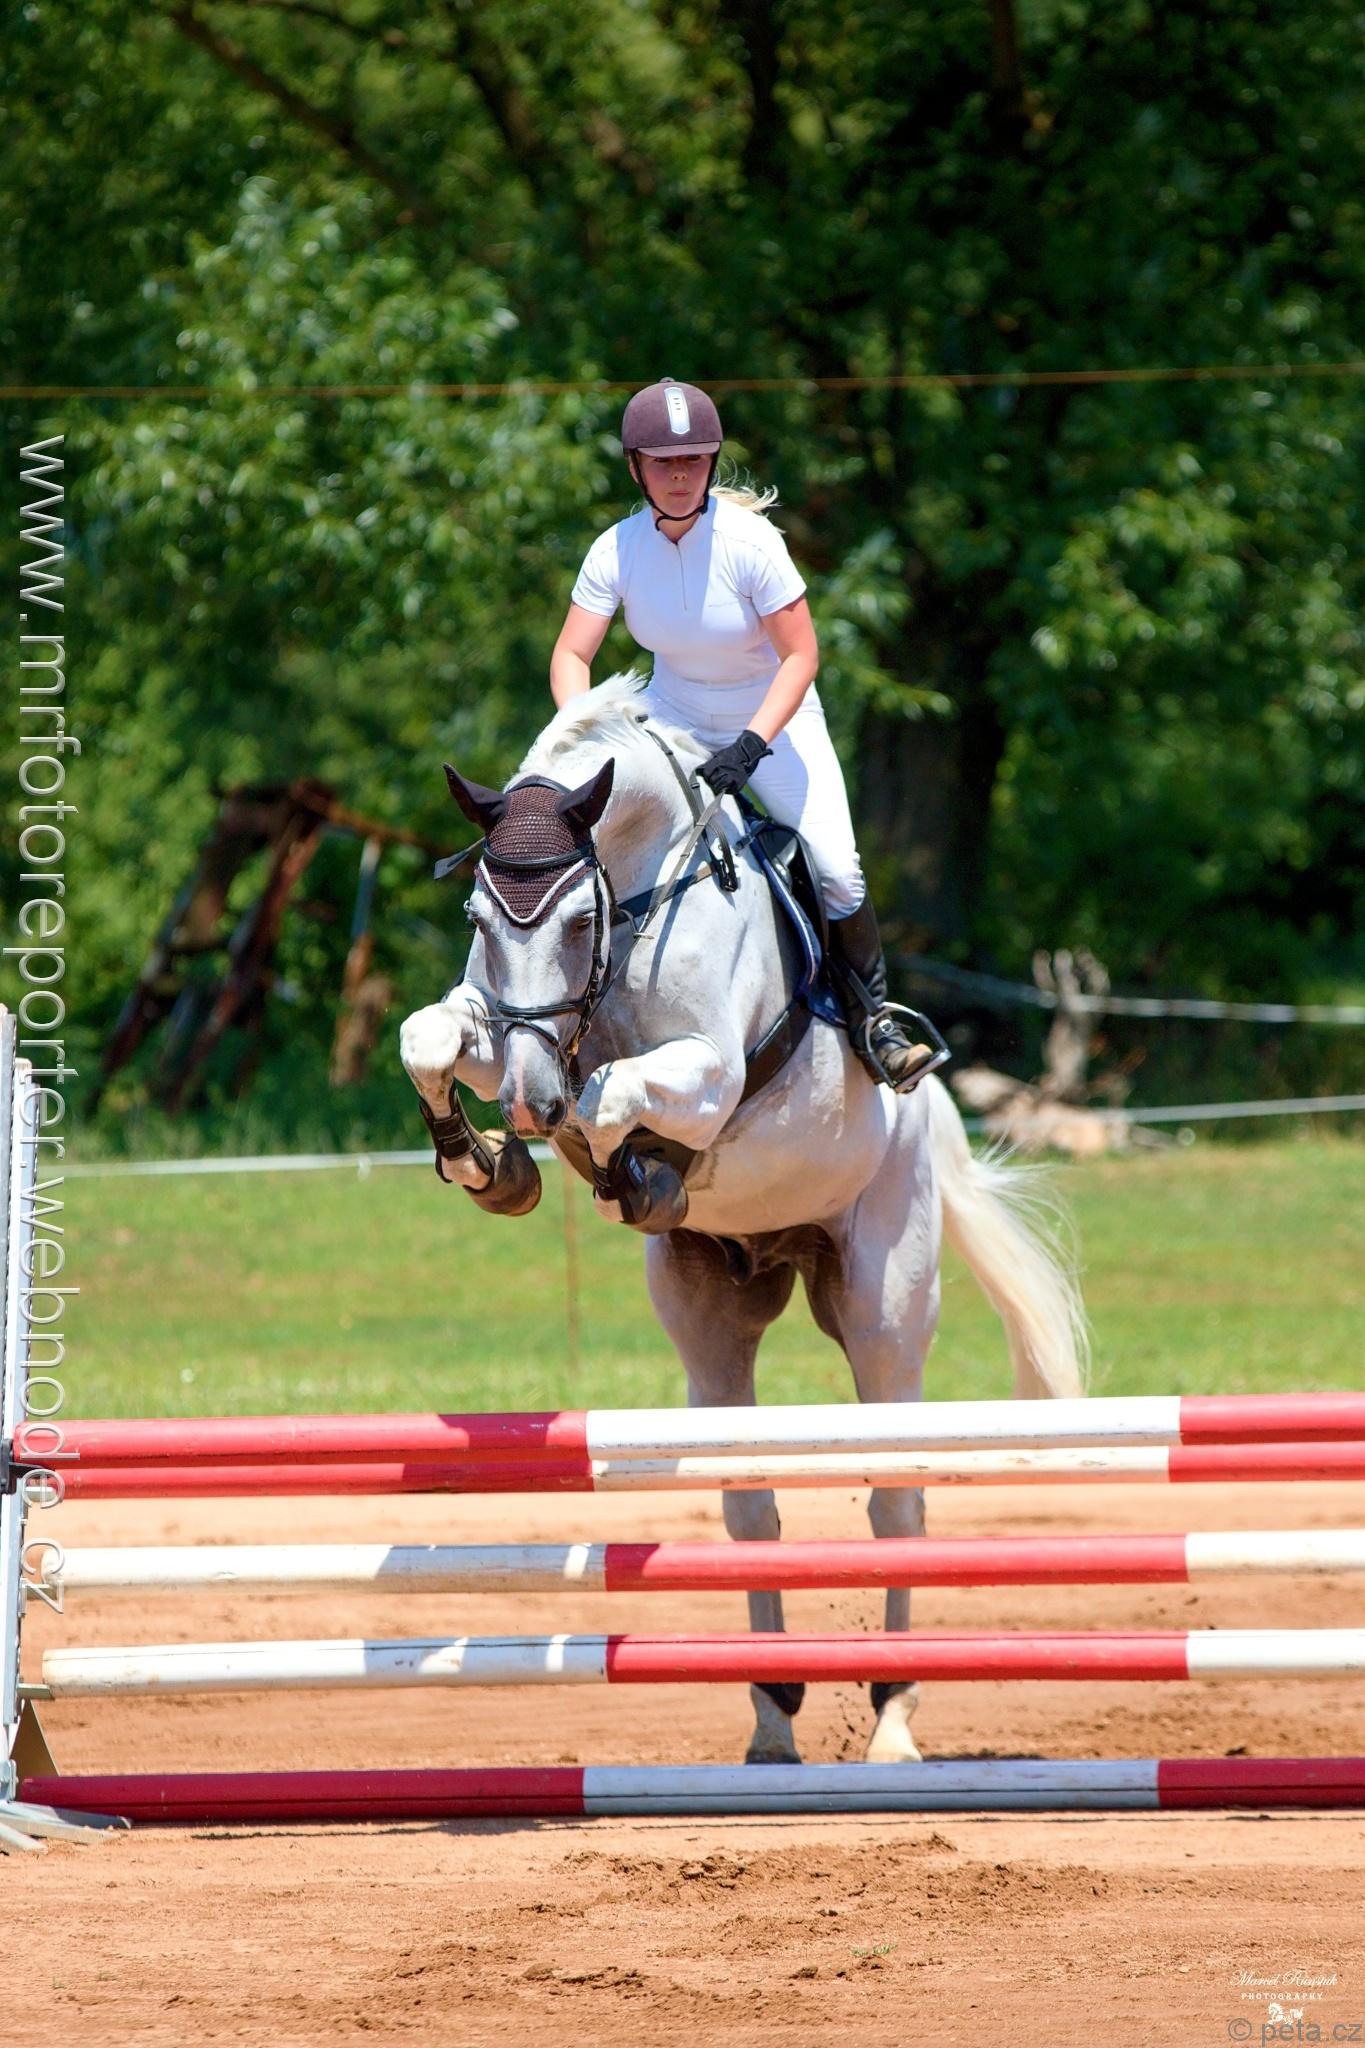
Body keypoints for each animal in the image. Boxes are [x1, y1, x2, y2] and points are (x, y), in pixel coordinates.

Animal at [400, 673, 1088, 1766]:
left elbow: (611, 1092)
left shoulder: (709, 1069)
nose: (524, 1102)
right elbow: (428, 1036)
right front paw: (492, 1163)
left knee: (897, 1496)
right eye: (479, 914)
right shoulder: (500, 1027)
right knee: (748, 1500)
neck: (641, 899)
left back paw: (893, 1719)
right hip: (711, 1319)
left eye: (579, 924)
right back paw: (771, 1715)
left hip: (885, 1308)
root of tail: (931, 1112)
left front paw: (618, 1165)